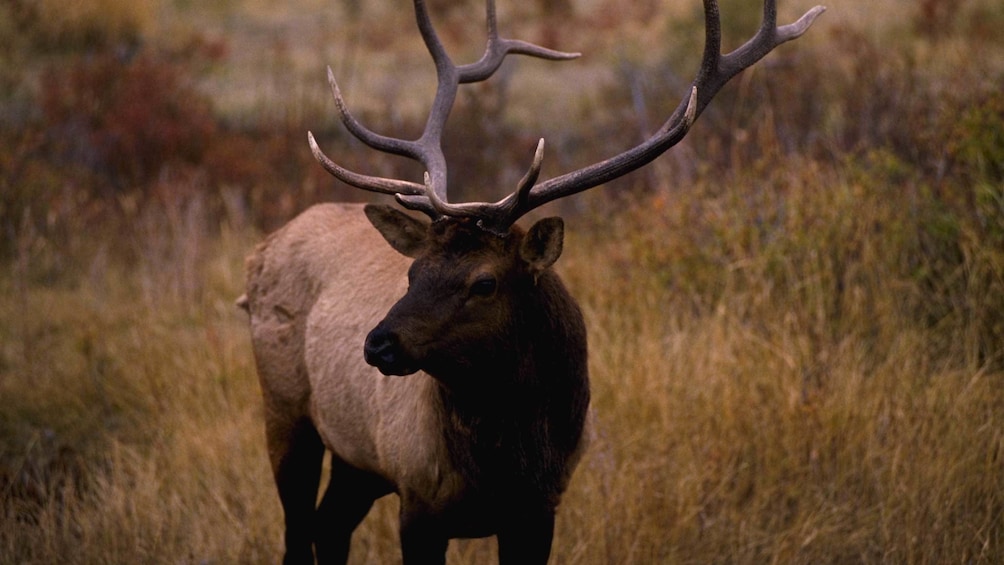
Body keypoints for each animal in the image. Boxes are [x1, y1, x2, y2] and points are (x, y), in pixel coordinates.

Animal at [240, 2, 823, 561]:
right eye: (412, 272)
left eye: (485, 283)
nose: (378, 343)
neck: (506, 467)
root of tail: (260, 252)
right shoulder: (418, 497)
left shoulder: (541, 509)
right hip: (287, 411)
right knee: (299, 531)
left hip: (357, 462)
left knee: (328, 526)